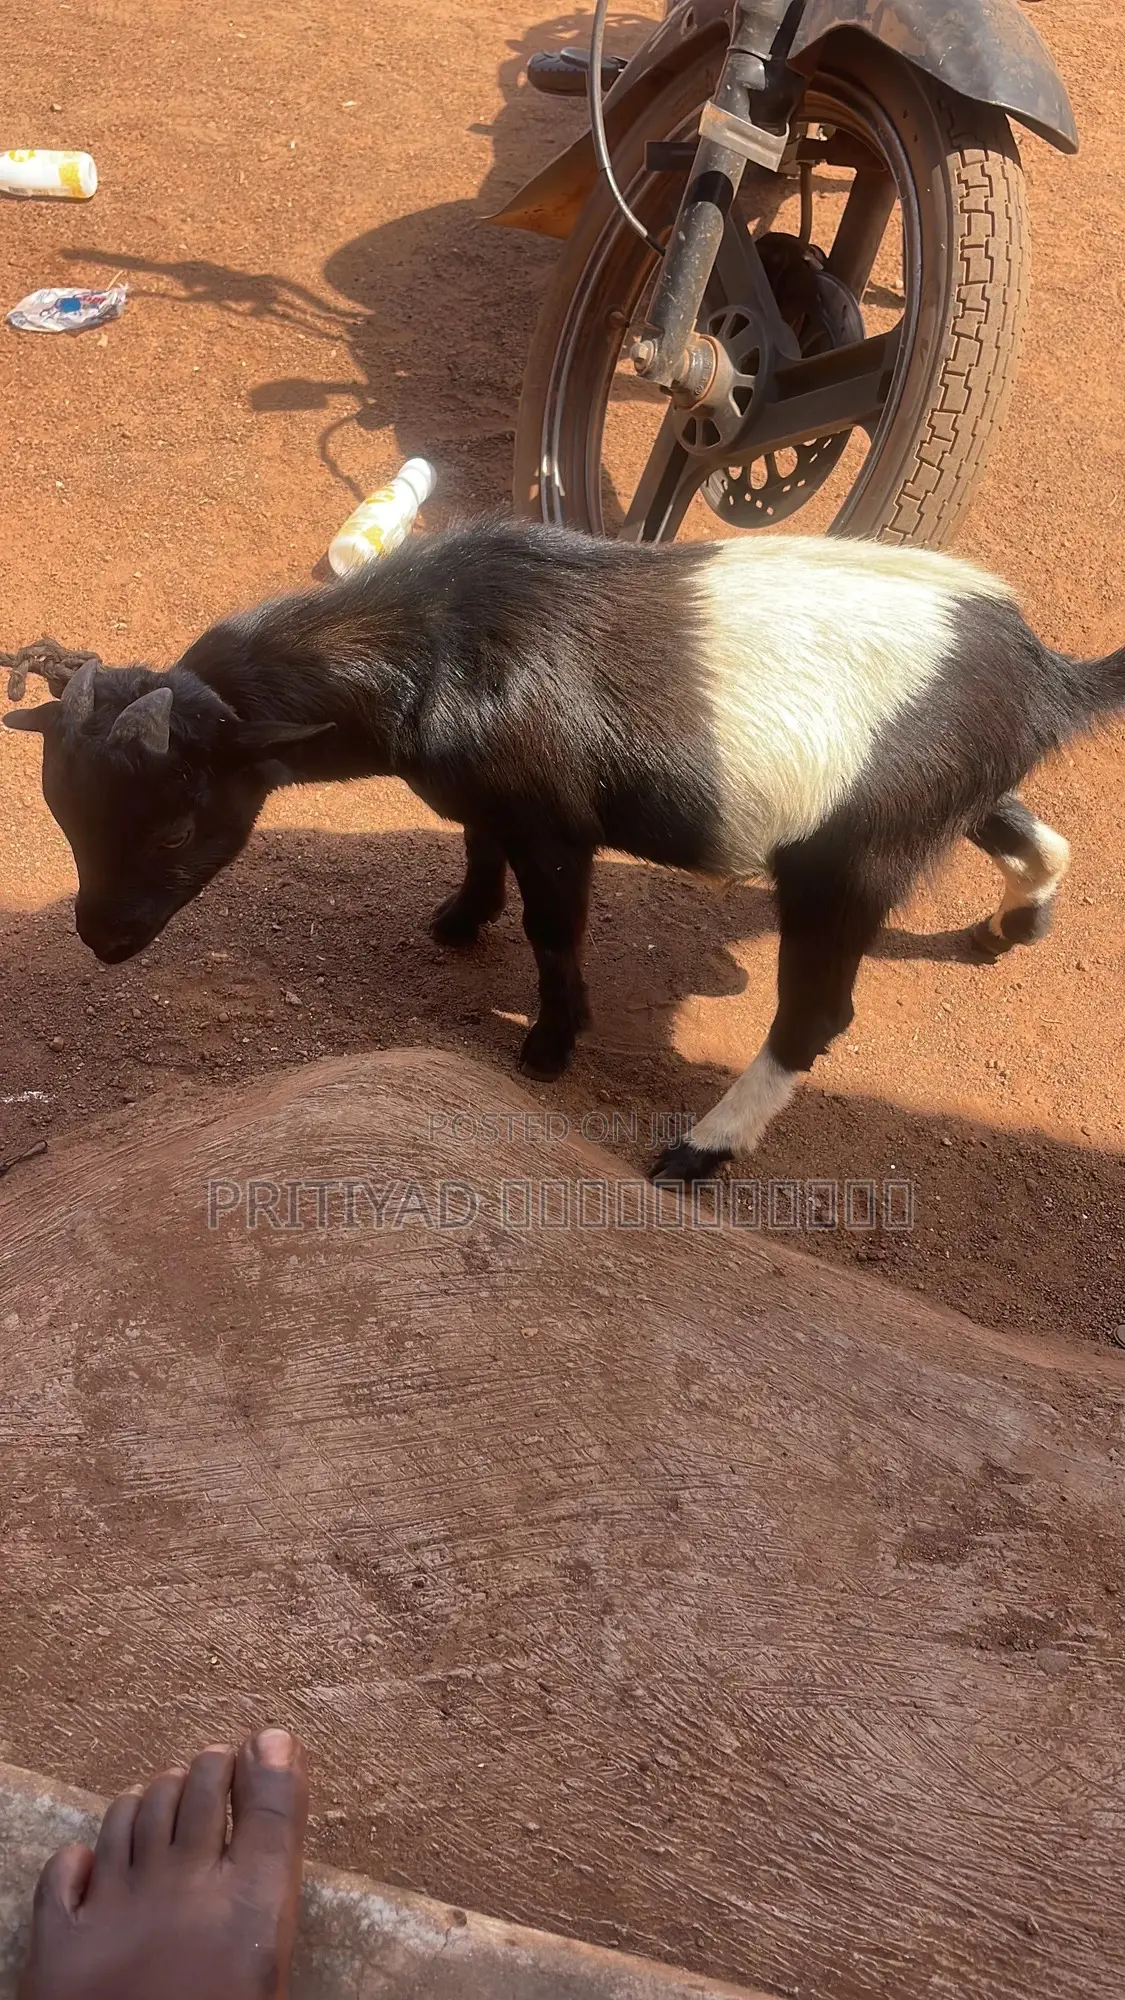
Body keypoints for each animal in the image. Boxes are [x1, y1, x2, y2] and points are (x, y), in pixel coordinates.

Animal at [4, 521, 1110, 1183]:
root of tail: (1045, 678)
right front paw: (458, 922)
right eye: (66, 819)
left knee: (815, 1014)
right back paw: (1015, 923)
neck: (434, 643)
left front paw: (548, 1044)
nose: (101, 938)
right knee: (1029, 826)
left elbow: (553, 928)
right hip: (938, 806)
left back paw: (699, 1148)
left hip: (848, 863)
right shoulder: (492, 804)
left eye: (174, 826)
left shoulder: (554, 825)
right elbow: (473, 845)